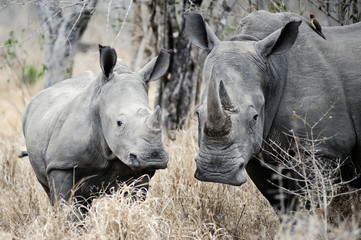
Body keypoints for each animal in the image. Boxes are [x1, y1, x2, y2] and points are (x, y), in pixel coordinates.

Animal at [23, 46, 171, 207]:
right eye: (119, 123)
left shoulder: (140, 170)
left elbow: (134, 200)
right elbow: (66, 204)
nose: (153, 158)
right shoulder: (61, 164)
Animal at [184, 11, 360, 212]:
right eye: (197, 114)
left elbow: (310, 200)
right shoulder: (257, 151)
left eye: (254, 117)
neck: (272, 67)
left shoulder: (321, 149)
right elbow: (280, 202)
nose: (216, 172)